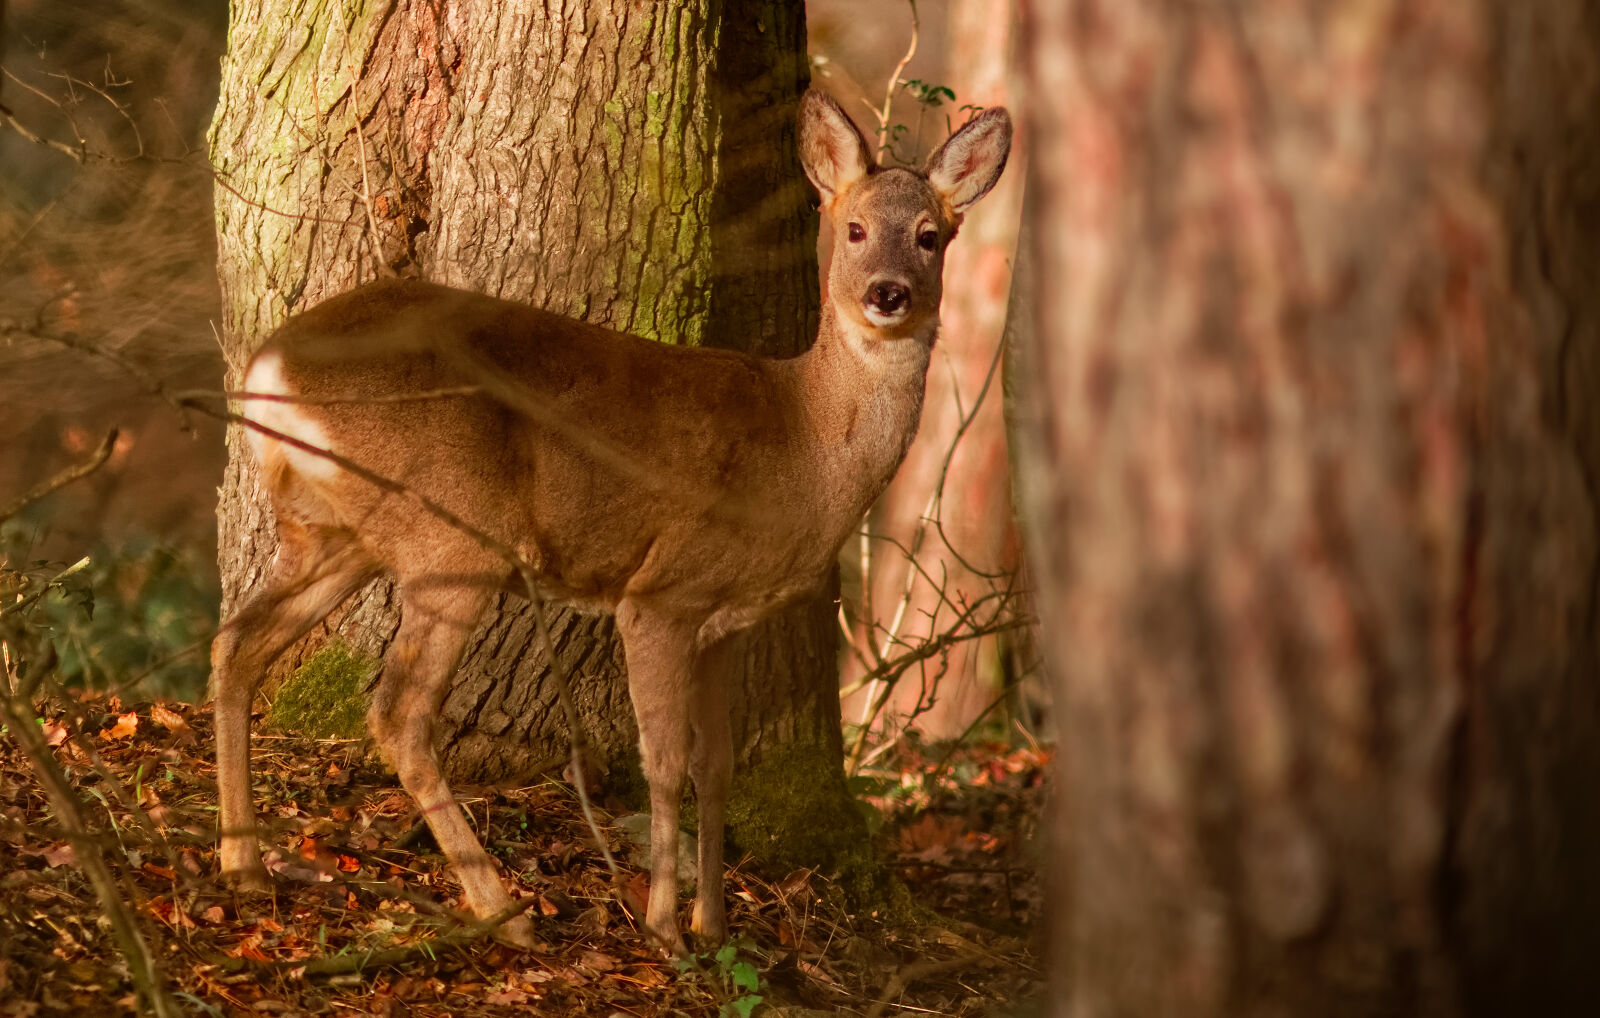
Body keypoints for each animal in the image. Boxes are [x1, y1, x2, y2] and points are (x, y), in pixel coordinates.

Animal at [210, 90, 1012, 957]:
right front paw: (665, 926)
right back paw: (504, 909)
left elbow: (716, 765)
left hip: (332, 531)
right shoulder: (661, 590)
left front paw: (713, 923)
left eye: (931, 235)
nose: (888, 293)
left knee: (238, 643)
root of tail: (267, 368)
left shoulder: (726, 619)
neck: (802, 441)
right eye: (856, 228)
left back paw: (243, 866)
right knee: (399, 710)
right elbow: (665, 760)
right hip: (450, 531)